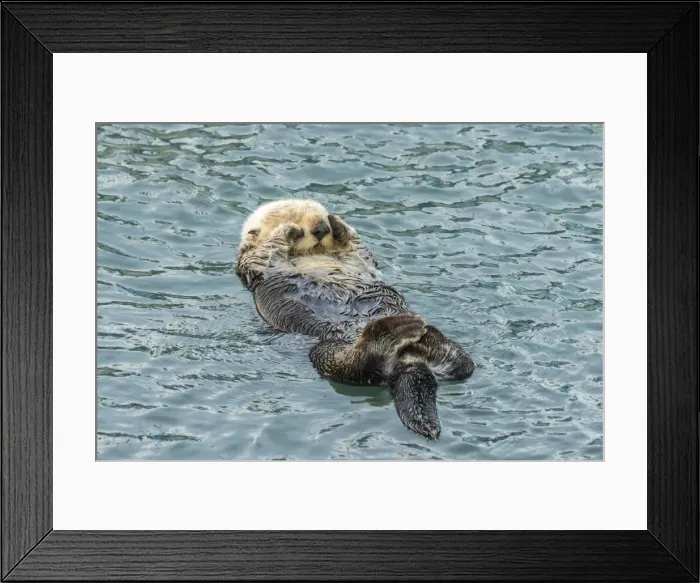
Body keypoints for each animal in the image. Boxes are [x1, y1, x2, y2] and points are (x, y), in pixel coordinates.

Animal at [236, 199, 474, 439]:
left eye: (321, 215)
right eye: (294, 217)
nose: (322, 228)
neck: (309, 254)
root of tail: (408, 361)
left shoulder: (357, 255)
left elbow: (358, 245)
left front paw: (337, 222)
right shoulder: (251, 263)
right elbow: (265, 249)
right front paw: (288, 230)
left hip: (444, 356)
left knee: (463, 364)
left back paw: (425, 332)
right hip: (327, 350)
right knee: (353, 365)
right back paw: (392, 330)